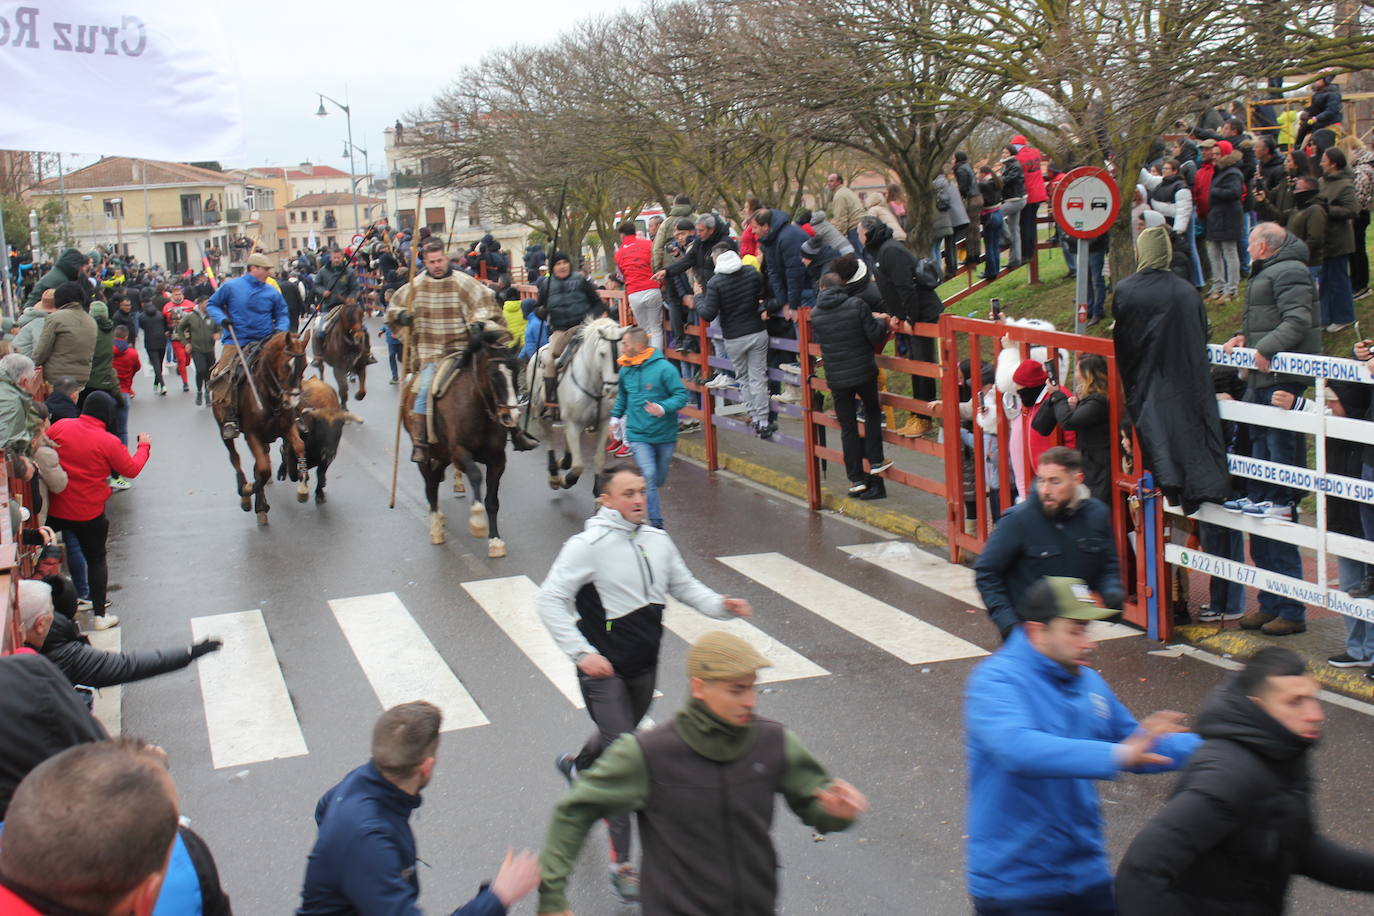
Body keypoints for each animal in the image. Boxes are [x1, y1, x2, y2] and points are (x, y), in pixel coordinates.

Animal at [215, 330, 313, 527]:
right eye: (285, 365)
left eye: (305, 365)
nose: (292, 402)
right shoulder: (252, 435)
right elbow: (263, 470)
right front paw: (247, 490)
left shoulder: (287, 427)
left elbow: (299, 446)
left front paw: (303, 487)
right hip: (224, 431)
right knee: (235, 458)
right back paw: (246, 494)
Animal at [276, 379, 362, 508]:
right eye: (321, 425)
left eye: (340, 426)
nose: (329, 452)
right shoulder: (293, 451)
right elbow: (294, 473)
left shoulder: (326, 460)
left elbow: (320, 474)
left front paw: (319, 493)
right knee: (283, 451)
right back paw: (282, 471)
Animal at [403, 329, 522, 560]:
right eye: (494, 375)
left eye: (517, 372)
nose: (511, 415)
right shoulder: (460, 452)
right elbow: (475, 475)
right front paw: (477, 522)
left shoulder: (497, 459)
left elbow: (492, 501)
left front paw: (495, 541)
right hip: (427, 456)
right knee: (429, 485)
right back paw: (436, 528)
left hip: (442, 456)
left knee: (434, 481)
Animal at [524, 313, 629, 491]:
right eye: (602, 353)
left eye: (622, 352)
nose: (613, 390)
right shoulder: (574, 423)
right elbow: (578, 466)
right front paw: (567, 480)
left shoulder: (603, 423)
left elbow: (599, 459)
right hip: (541, 409)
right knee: (549, 434)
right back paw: (554, 475)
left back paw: (564, 461)